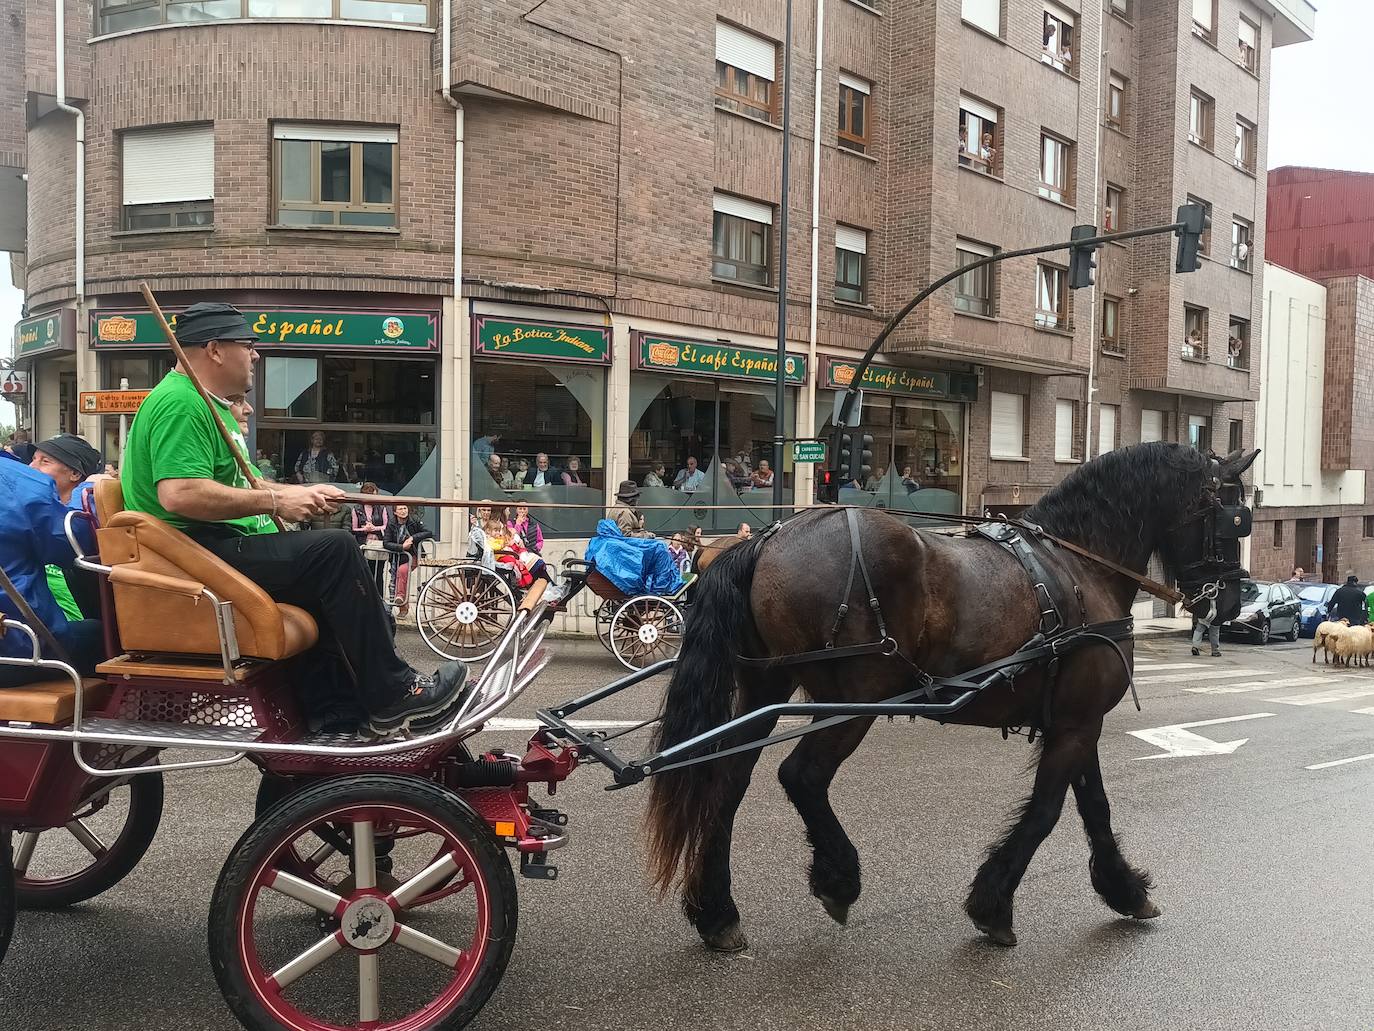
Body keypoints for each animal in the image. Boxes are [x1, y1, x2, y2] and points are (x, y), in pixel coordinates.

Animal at [643, 445, 1258, 951]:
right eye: (1232, 517)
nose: (1232, 602)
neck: (1080, 564)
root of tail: (764, 540)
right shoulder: (1078, 724)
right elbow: (1047, 812)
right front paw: (993, 905)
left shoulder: (1074, 721)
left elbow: (1095, 808)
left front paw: (1124, 888)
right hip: (853, 700)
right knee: (802, 776)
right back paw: (838, 878)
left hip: (764, 690)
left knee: (727, 782)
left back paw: (717, 912)